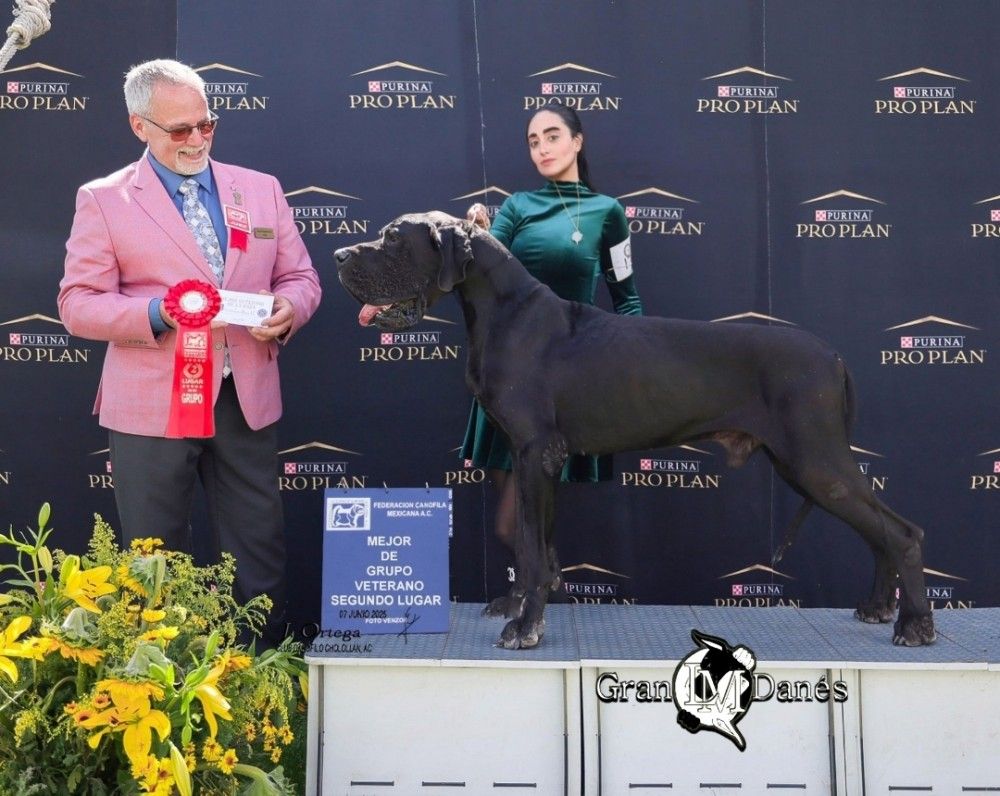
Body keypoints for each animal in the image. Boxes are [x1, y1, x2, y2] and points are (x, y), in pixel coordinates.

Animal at [335, 211, 935, 649]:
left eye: (394, 237)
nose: (339, 256)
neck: (506, 311)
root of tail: (834, 356)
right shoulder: (539, 458)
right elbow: (537, 544)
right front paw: (526, 607)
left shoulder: (536, 452)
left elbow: (529, 547)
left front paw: (525, 626)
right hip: (805, 464)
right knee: (879, 530)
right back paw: (880, 607)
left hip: (814, 459)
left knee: (902, 532)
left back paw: (914, 624)